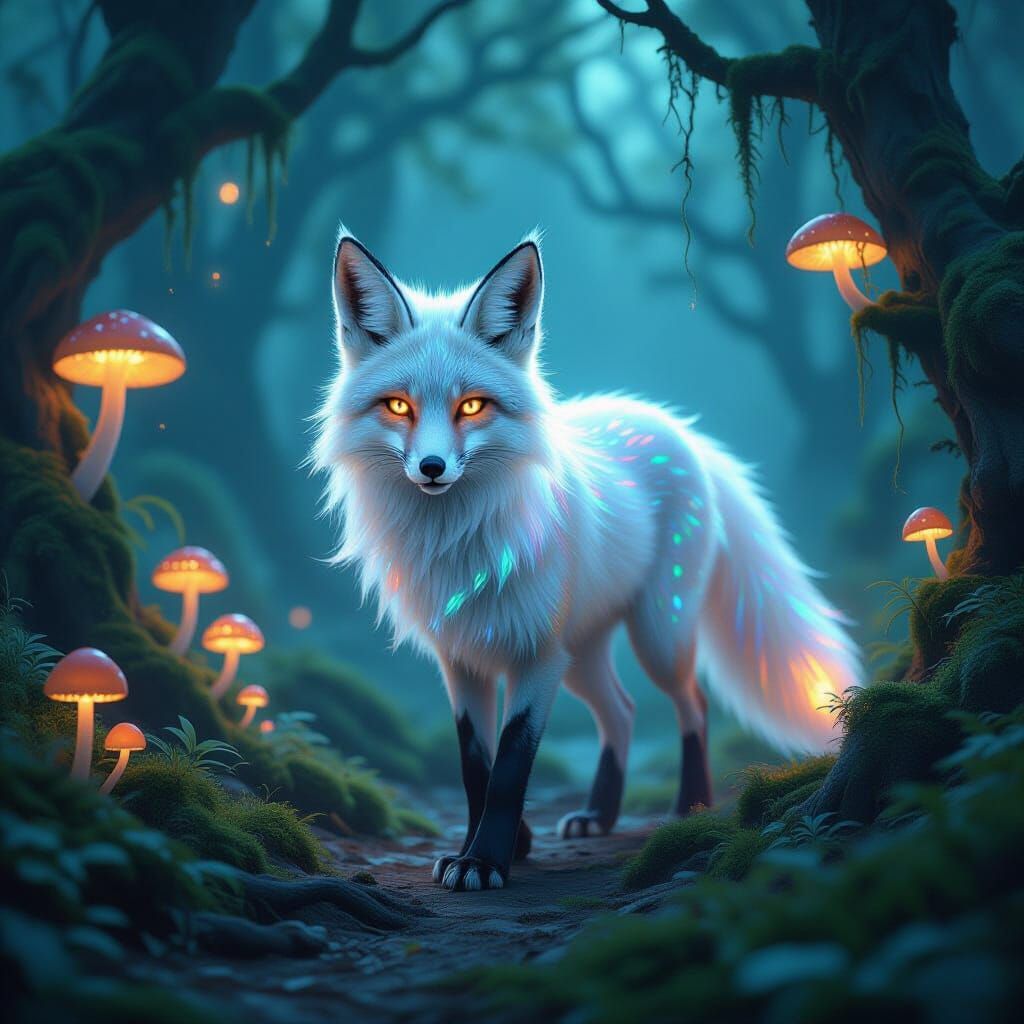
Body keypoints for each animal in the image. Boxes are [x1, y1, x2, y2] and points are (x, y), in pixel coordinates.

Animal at [313, 231, 860, 892]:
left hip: (654, 636)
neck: (459, 544)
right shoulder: (462, 657)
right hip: (583, 655)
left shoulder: (536, 654)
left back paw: (690, 807)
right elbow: (475, 767)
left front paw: (486, 860)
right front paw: (499, 847)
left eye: (472, 407)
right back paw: (599, 813)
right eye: (398, 406)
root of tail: (677, 426)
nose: (433, 468)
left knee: (692, 702)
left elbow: (510, 768)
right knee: (621, 712)